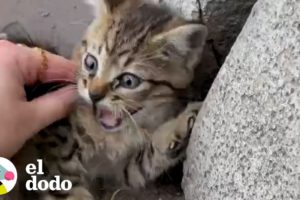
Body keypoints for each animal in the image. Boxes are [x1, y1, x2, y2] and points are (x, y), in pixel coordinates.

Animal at [4, 0, 207, 200]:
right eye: (90, 63)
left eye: (128, 81)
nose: (94, 95)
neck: (109, 138)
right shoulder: (54, 165)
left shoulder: (119, 170)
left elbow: (147, 160)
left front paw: (183, 124)